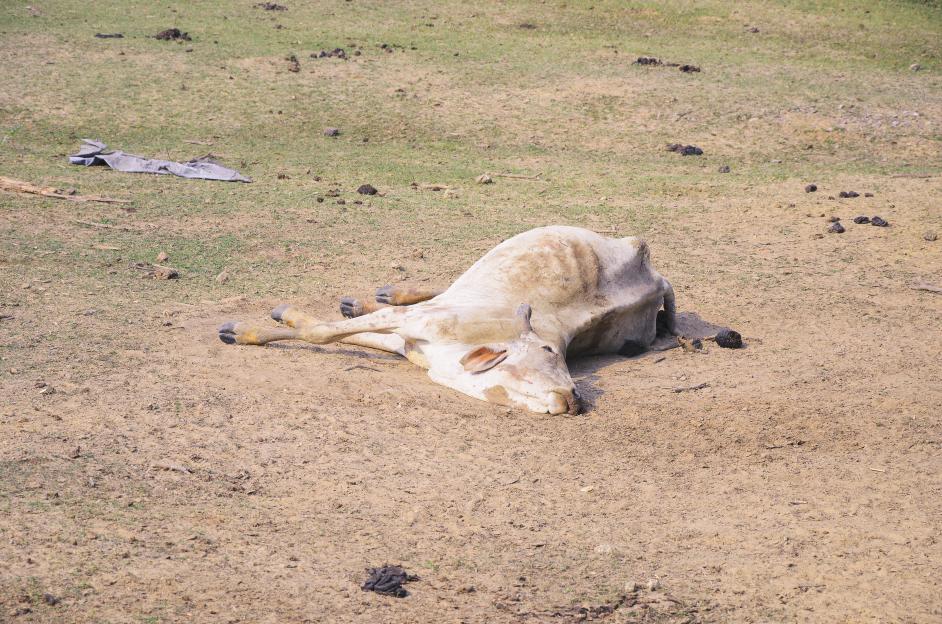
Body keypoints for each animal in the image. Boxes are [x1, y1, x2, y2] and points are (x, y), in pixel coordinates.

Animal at [218, 225, 677, 415]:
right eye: (548, 350)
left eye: (561, 354)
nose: (575, 398)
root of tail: (654, 273)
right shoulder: (413, 325)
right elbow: (321, 332)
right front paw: (247, 329)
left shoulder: (408, 336)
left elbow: (328, 333)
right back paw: (374, 296)